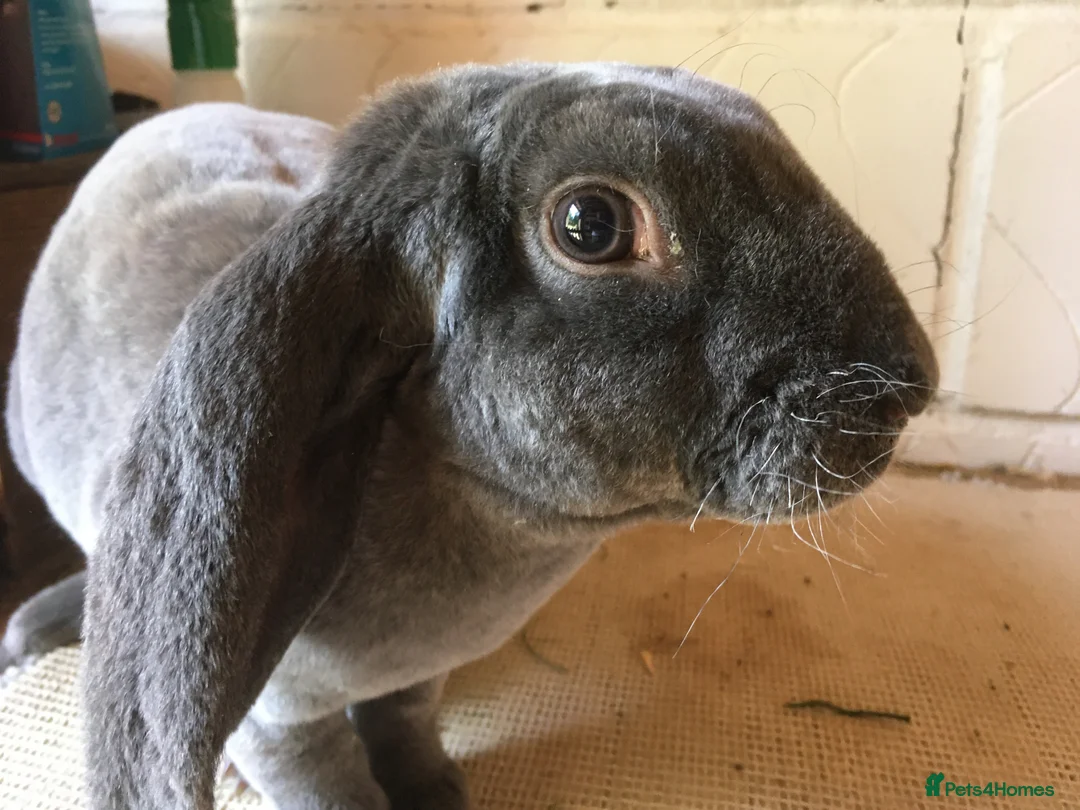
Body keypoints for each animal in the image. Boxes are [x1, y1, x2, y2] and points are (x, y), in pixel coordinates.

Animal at [2, 61, 938, 810]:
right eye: (590, 225)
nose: (910, 380)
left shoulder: (414, 684)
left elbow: (406, 728)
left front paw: (436, 795)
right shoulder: (280, 728)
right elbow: (330, 789)